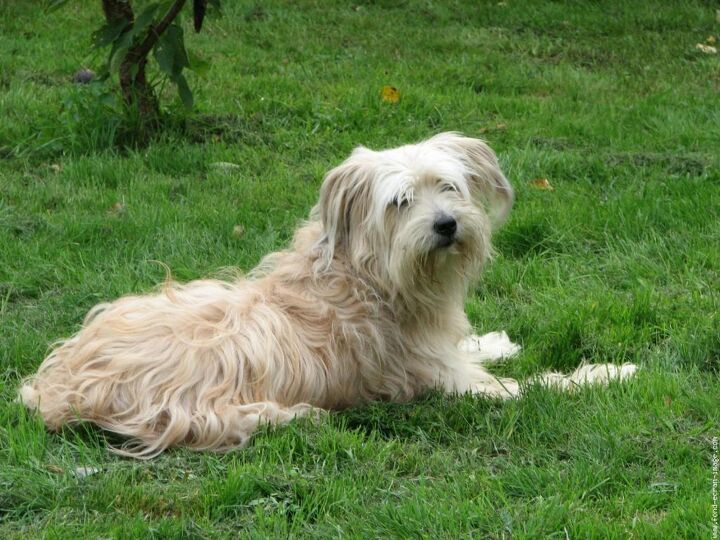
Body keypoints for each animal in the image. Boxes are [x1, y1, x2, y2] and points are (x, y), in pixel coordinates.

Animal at [18, 134, 636, 456]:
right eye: (399, 202)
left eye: (448, 186)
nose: (446, 225)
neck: (369, 275)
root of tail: (55, 386)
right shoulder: (450, 387)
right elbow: (538, 386)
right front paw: (607, 372)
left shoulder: (440, 352)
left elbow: (474, 347)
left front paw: (498, 340)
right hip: (196, 404)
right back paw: (295, 418)